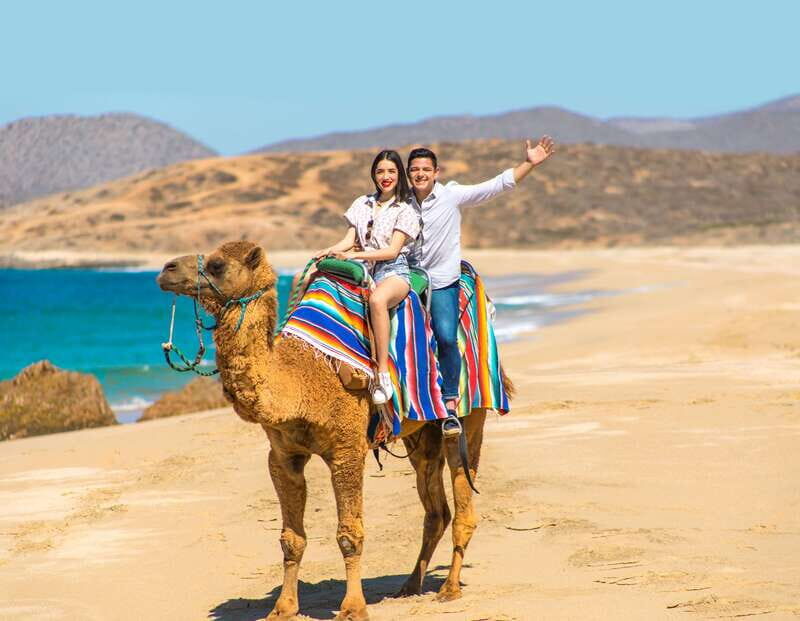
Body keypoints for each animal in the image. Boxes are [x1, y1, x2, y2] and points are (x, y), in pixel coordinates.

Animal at [157, 240, 512, 621]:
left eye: (218, 264)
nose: (166, 270)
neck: (301, 375)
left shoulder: (347, 447)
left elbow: (349, 534)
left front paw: (353, 607)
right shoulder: (282, 455)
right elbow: (291, 538)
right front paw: (283, 608)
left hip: (471, 410)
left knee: (463, 499)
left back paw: (448, 589)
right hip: (420, 434)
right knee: (435, 509)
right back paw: (409, 586)